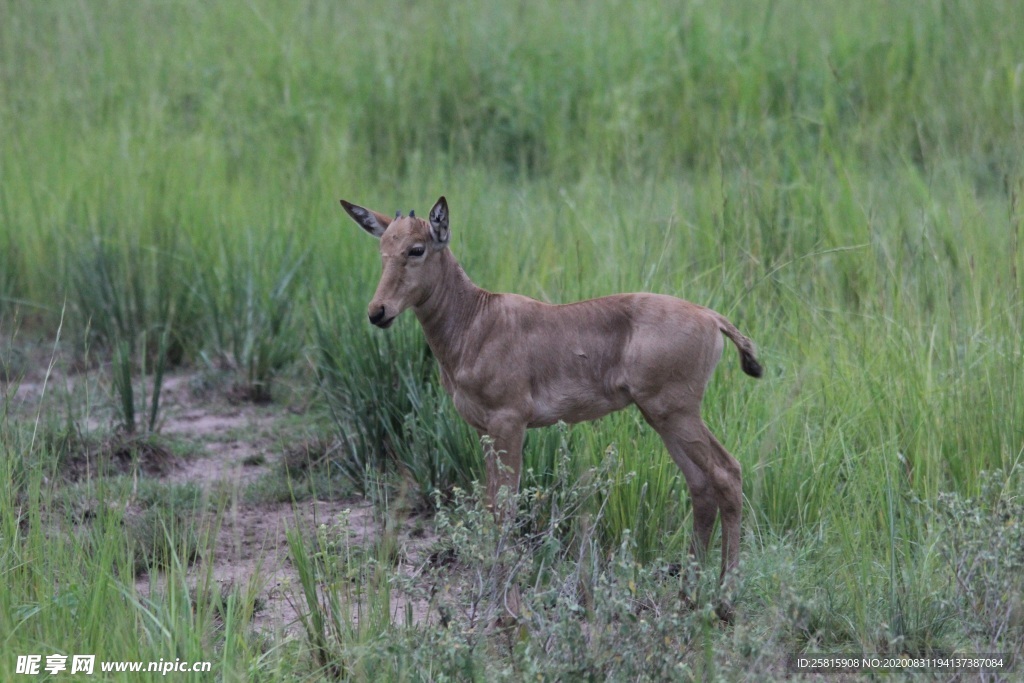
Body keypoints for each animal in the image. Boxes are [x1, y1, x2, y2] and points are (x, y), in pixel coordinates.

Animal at [342, 193, 761, 593]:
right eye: (383, 248)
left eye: (417, 249)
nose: (378, 312)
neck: (478, 319)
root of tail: (711, 318)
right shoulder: (484, 431)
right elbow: (491, 505)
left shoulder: (510, 423)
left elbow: (504, 509)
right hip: (662, 417)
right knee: (700, 485)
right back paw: (689, 594)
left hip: (676, 413)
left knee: (727, 473)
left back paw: (725, 595)